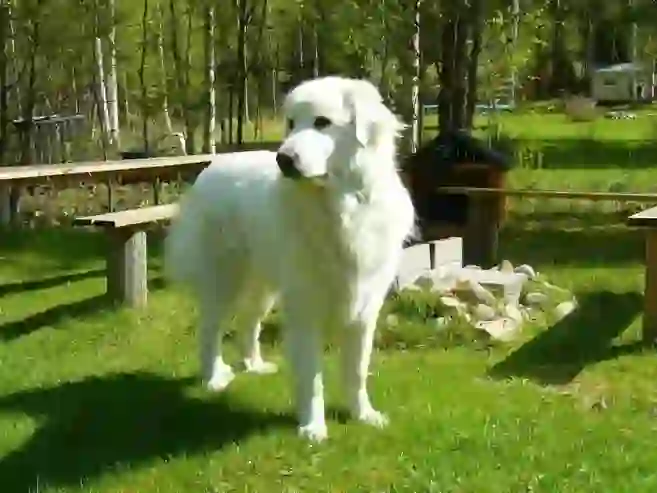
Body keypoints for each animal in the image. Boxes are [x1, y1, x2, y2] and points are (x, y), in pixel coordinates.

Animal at [167, 76, 418, 438]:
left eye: (322, 122)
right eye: (291, 123)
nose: (284, 159)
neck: (340, 207)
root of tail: (211, 168)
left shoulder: (365, 308)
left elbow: (357, 371)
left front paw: (364, 415)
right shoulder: (305, 308)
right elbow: (311, 378)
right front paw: (313, 429)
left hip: (264, 287)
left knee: (249, 322)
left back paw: (254, 366)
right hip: (224, 281)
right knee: (210, 329)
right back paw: (214, 378)